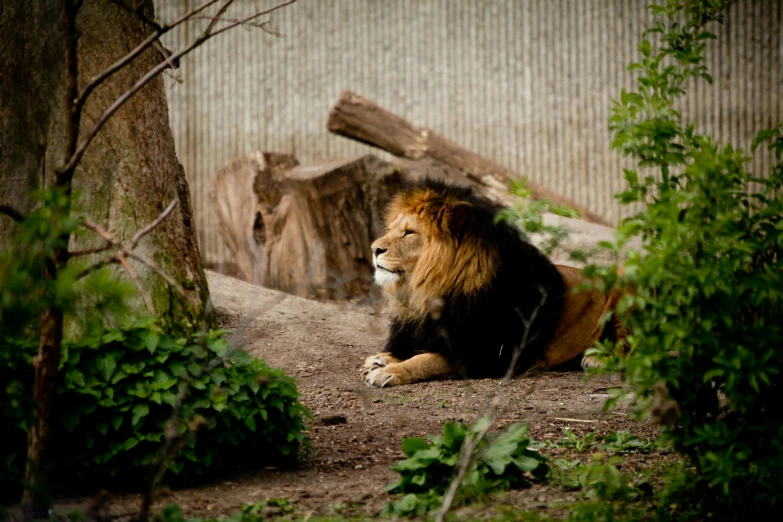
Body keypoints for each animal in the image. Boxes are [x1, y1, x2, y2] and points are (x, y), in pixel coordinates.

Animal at [362, 179, 624, 386]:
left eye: (409, 232)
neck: (429, 290)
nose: (374, 249)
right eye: (390, 229)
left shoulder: (487, 355)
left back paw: (595, 359)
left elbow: (426, 359)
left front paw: (390, 371)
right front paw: (380, 358)